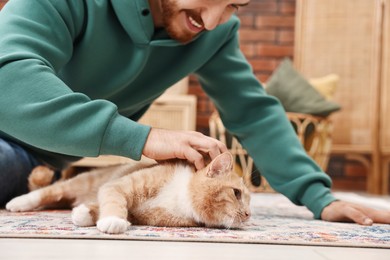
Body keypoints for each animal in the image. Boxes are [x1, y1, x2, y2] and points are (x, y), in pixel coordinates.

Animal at [5, 152, 250, 234]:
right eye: (237, 194)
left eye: (249, 202)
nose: (248, 215)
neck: (180, 196)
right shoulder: (118, 186)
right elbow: (115, 202)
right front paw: (112, 221)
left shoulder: (141, 214)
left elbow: (101, 209)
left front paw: (85, 214)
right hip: (80, 182)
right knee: (47, 192)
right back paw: (18, 202)